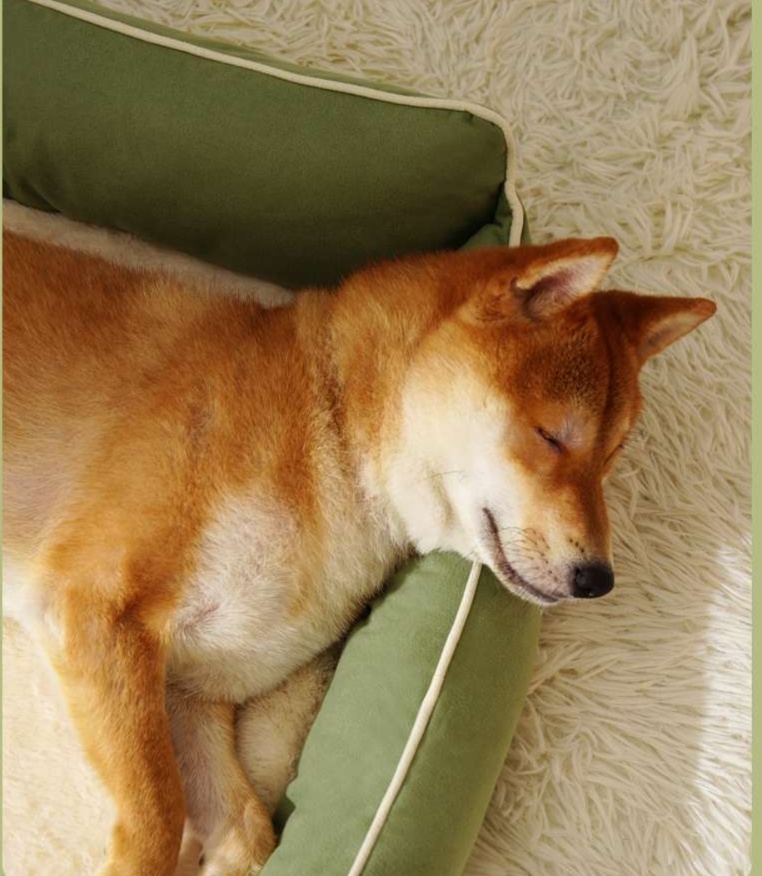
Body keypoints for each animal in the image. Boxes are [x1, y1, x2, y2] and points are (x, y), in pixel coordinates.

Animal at [2, 231, 715, 876]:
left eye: (610, 459)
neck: (331, 421)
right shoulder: (95, 608)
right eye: (550, 436)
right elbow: (156, 813)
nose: (598, 578)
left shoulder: (189, 693)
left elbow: (243, 831)